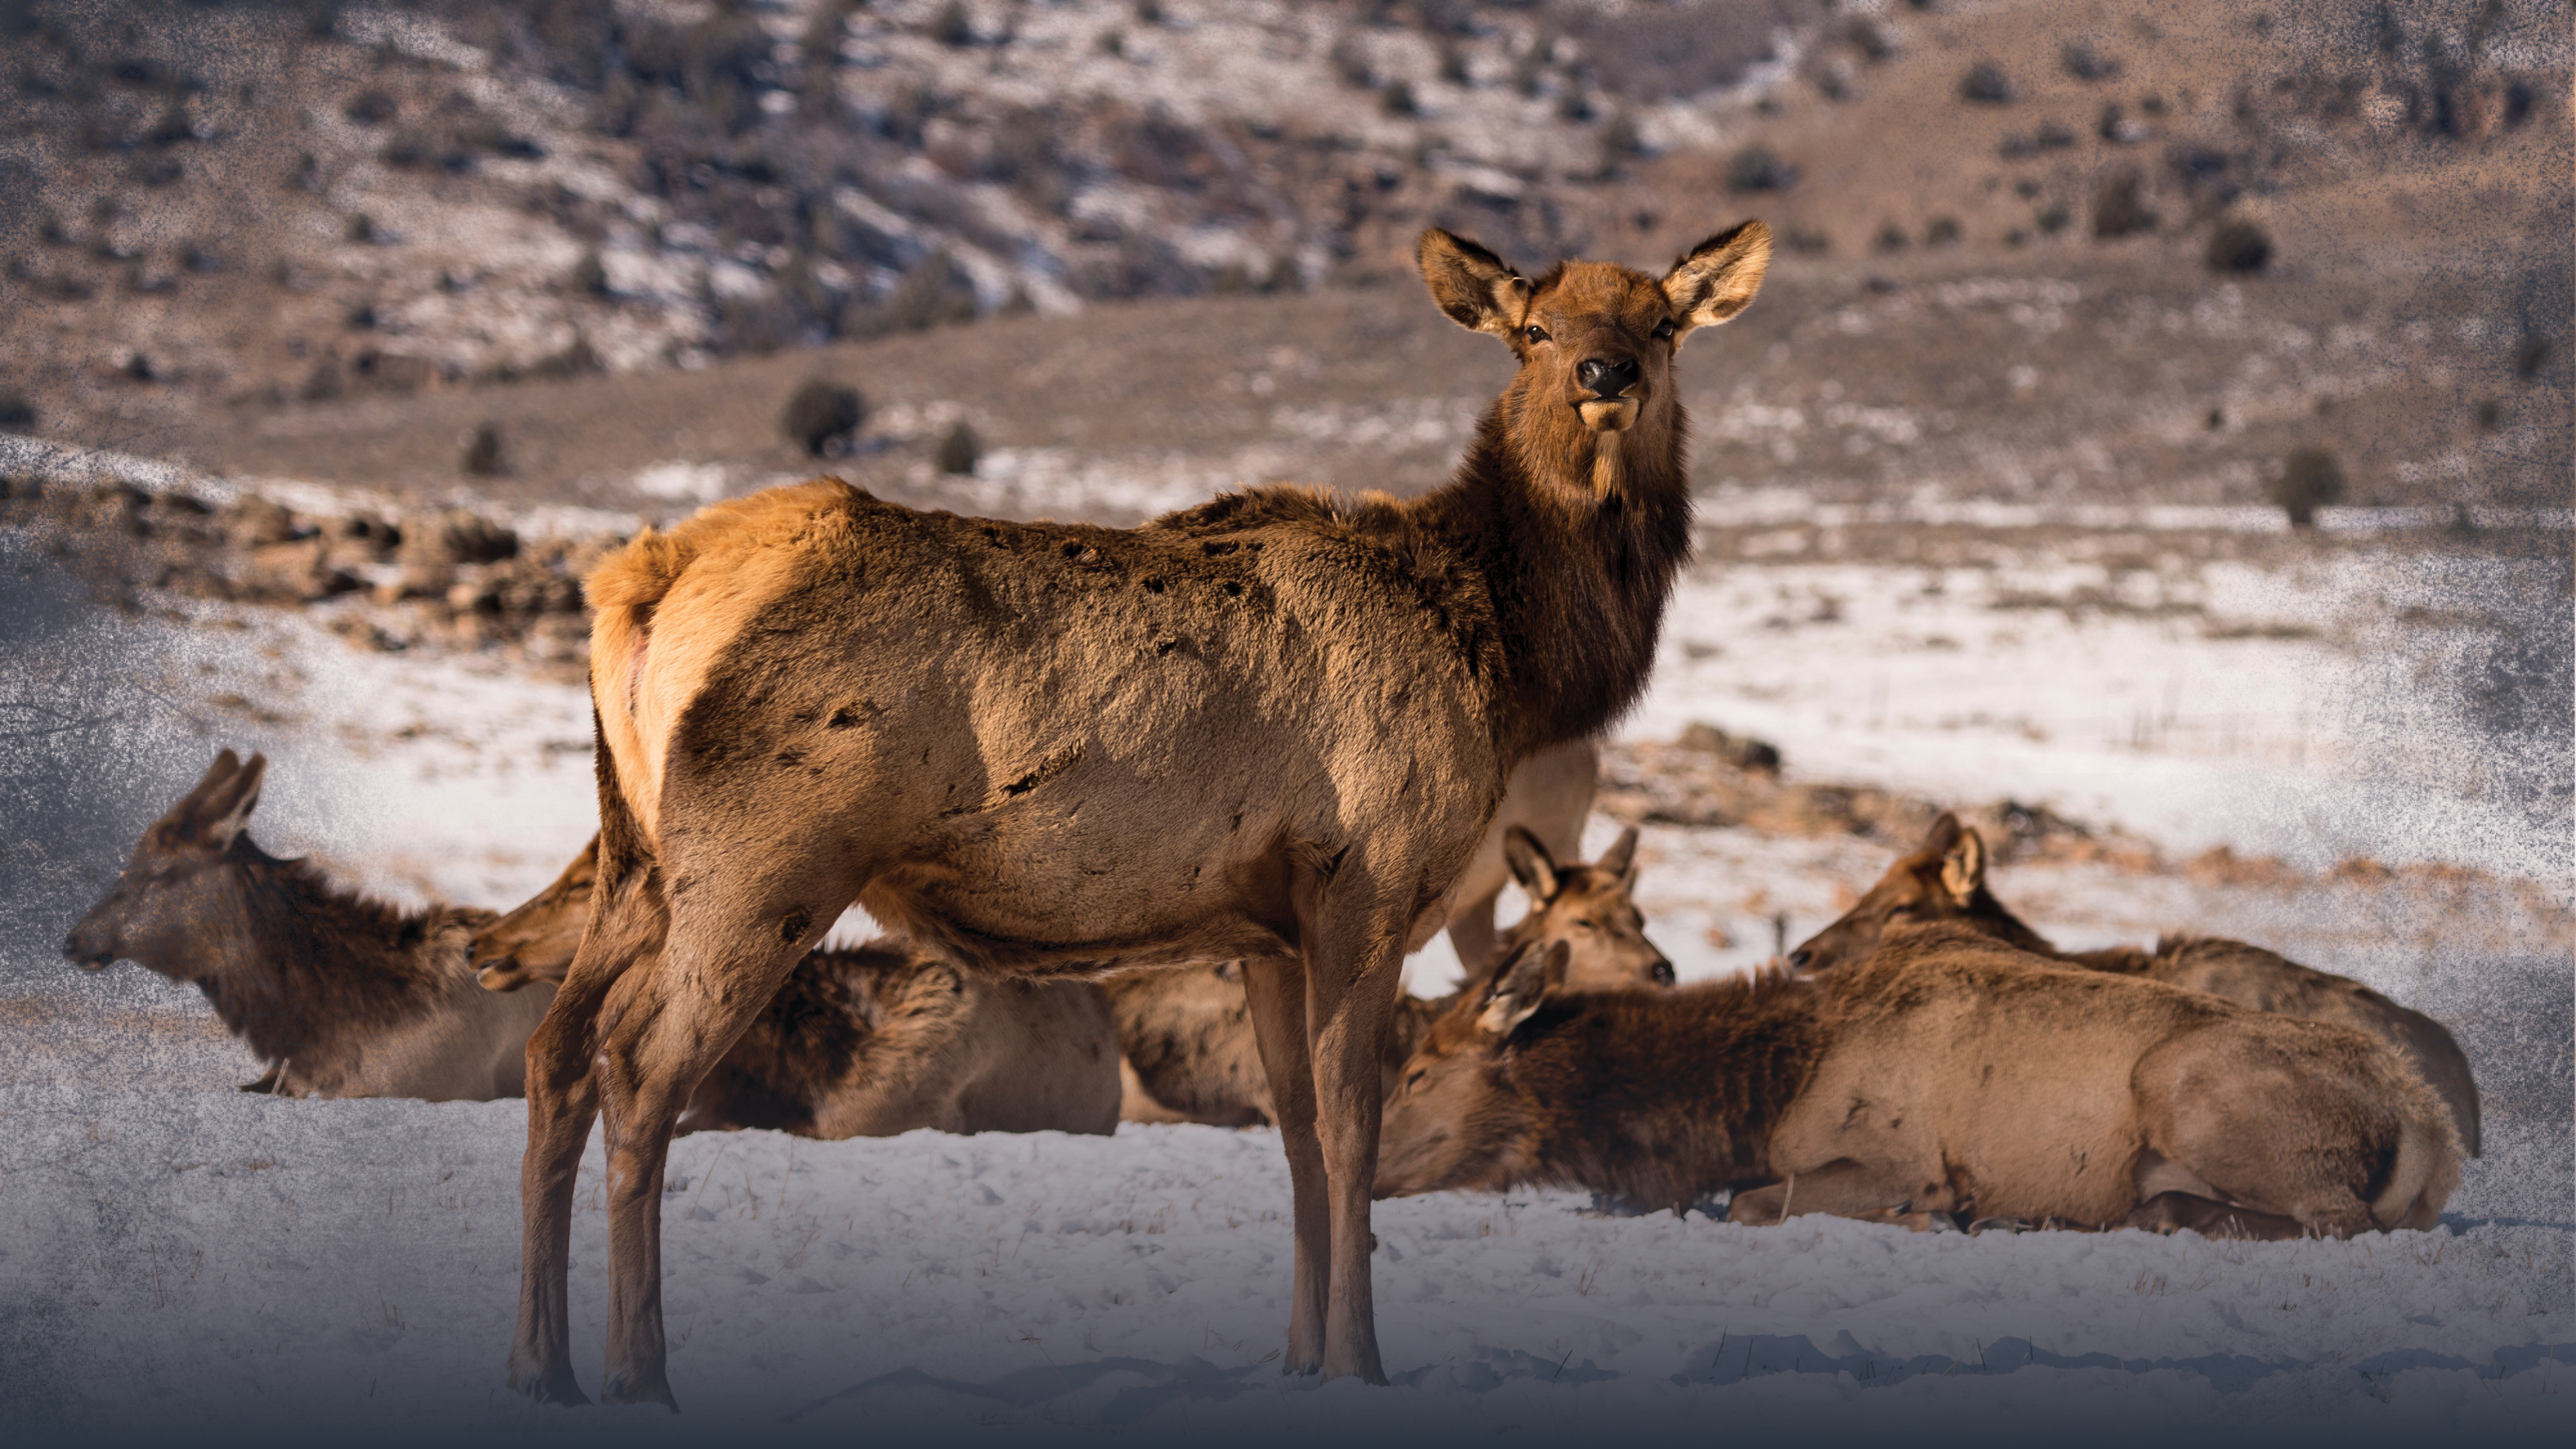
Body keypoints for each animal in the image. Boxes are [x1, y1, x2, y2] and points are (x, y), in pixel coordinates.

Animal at [1379, 926, 2461, 1239]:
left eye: (1419, 1071)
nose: (1370, 1171)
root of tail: (2431, 1122)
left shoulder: (1898, 1160)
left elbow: (1751, 1201)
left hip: (2185, 1085)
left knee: (2334, 1221)